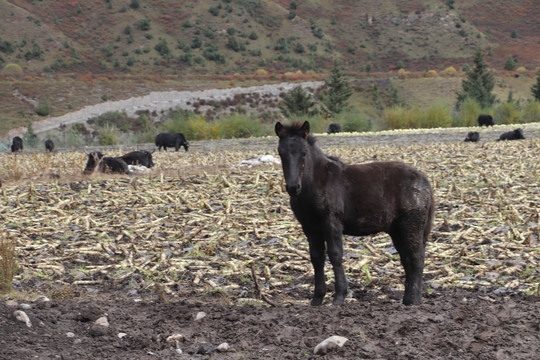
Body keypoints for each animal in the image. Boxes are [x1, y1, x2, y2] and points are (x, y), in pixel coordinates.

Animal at [274, 121, 434, 306]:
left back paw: (414, 300)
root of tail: (424, 181)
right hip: (397, 230)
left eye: (304, 153)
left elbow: (335, 254)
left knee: (417, 257)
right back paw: (407, 298)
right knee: (406, 259)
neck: (316, 182)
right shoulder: (309, 227)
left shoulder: (331, 221)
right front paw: (317, 298)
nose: (293, 188)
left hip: (411, 225)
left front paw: (339, 296)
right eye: (280, 152)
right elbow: (316, 258)